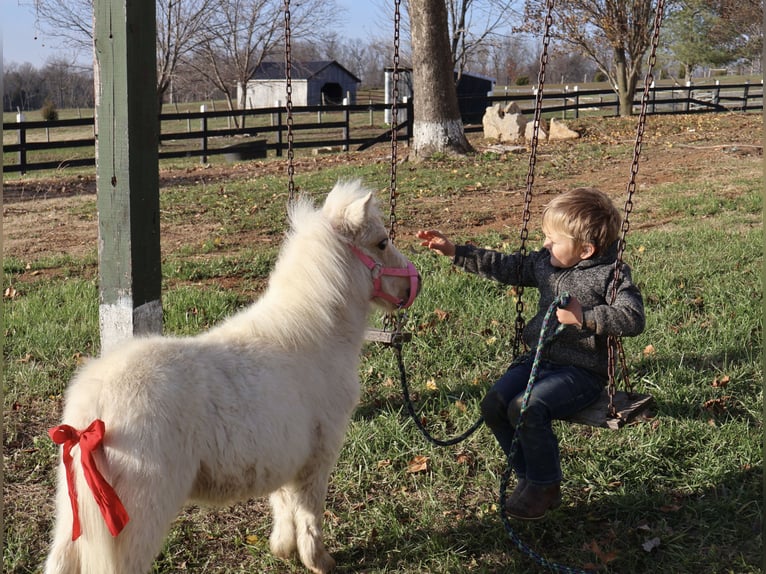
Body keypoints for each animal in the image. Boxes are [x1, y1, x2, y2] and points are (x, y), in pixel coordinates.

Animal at [43, 181, 420, 574]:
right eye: (381, 242)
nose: (414, 284)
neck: (314, 337)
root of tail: (94, 408)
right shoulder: (318, 458)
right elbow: (308, 512)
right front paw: (319, 560)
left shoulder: (283, 456)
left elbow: (283, 503)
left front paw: (283, 549)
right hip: (137, 519)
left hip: (72, 521)